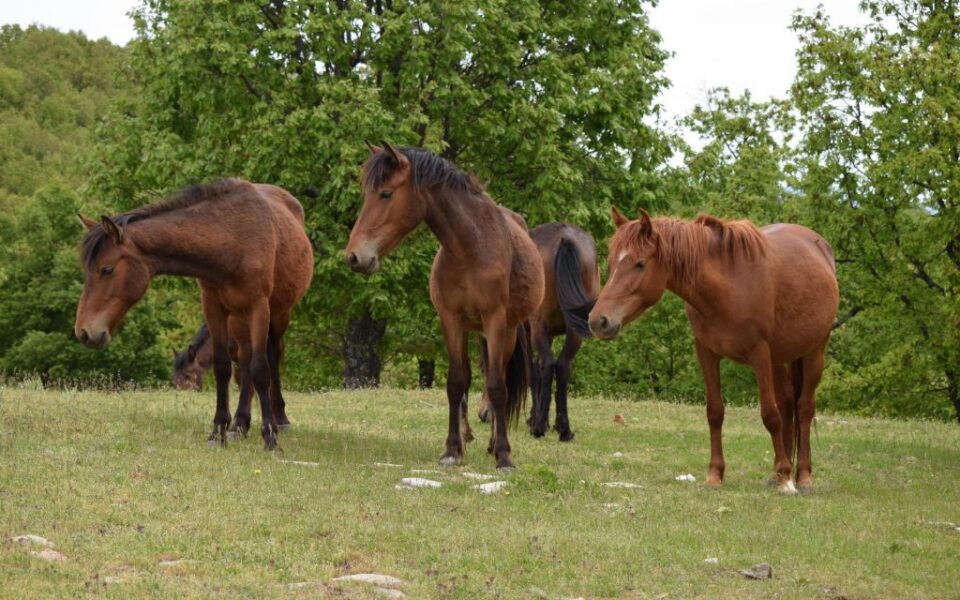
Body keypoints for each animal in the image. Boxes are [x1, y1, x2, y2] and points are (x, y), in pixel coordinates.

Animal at [77, 179, 316, 450]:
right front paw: (218, 431)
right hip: (239, 319)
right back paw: (240, 424)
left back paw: (279, 418)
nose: (84, 332)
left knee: (272, 356)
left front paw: (270, 438)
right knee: (245, 362)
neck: (230, 240)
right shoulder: (213, 308)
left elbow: (260, 369)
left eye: (107, 269)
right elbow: (223, 368)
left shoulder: (258, 307)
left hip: (278, 314)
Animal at [344, 143, 544, 472]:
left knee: (497, 378)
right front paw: (452, 450)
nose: (354, 256)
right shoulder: (451, 320)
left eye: (385, 193)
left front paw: (504, 456)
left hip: (507, 331)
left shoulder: (495, 321)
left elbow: (497, 387)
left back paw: (494, 443)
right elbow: (456, 383)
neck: (470, 249)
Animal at [480, 223, 600, 442]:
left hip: (538, 327)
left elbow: (532, 372)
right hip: (574, 331)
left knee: (547, 365)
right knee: (562, 366)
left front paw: (535, 418)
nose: (483, 414)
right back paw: (564, 429)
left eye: (483, 369)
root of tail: (565, 239)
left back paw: (539, 428)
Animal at [588, 209, 836, 494]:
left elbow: (769, 415)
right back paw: (775, 473)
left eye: (640, 263)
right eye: (610, 262)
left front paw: (787, 479)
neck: (728, 284)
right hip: (779, 358)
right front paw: (715, 475)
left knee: (804, 408)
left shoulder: (759, 354)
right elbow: (715, 412)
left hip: (813, 351)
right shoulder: (706, 352)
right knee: (787, 404)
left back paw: (801, 476)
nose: (598, 321)